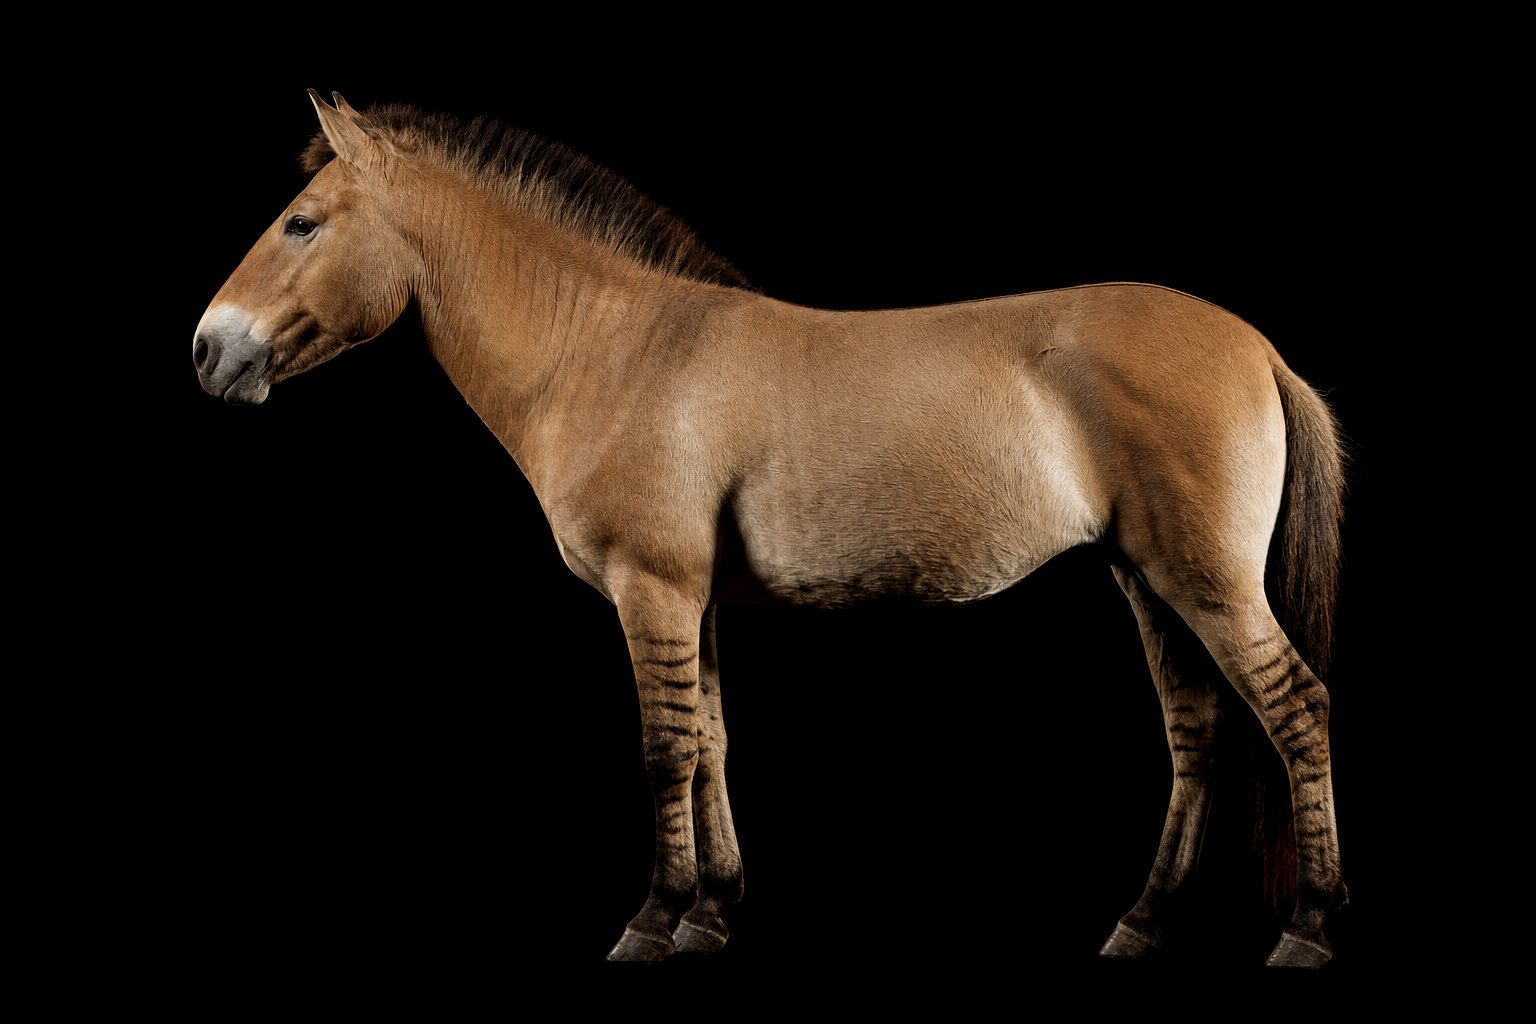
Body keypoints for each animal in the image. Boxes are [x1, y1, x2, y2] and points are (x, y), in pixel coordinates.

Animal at [192, 91, 1347, 967]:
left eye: (302, 222)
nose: (208, 350)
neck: (611, 350)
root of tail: (1257, 346)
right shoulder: (691, 598)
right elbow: (711, 743)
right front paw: (710, 912)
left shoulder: (652, 589)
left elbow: (664, 751)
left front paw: (652, 921)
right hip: (1145, 578)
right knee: (1197, 729)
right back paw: (1143, 922)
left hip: (1204, 579)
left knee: (1294, 709)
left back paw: (1307, 928)